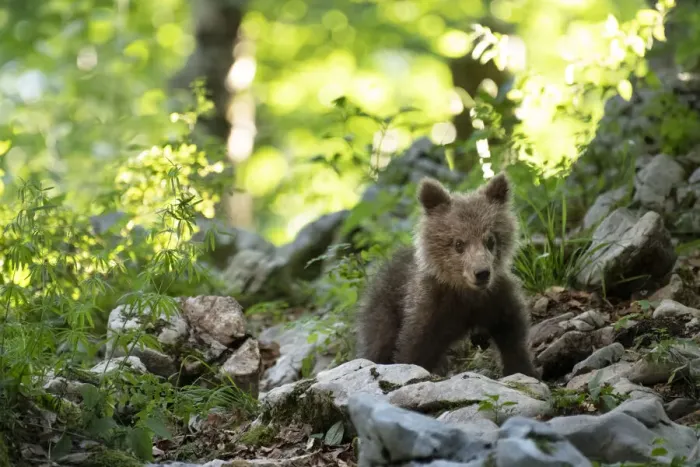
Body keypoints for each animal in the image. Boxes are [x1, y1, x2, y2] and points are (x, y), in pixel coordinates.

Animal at [354, 172, 539, 379]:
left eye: (490, 240)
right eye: (459, 243)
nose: (481, 273)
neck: (466, 294)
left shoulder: (497, 300)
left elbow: (513, 338)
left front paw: (525, 370)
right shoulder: (430, 309)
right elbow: (411, 351)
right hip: (385, 308)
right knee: (378, 343)